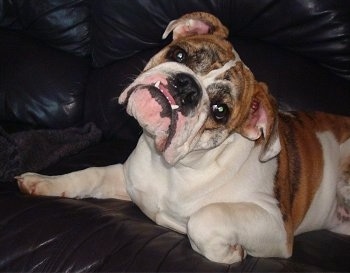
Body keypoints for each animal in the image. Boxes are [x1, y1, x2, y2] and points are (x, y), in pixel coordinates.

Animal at [15, 13, 350, 264]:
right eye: (179, 54)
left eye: (220, 111)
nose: (186, 87)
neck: (175, 169)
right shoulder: (126, 178)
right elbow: (89, 175)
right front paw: (43, 182)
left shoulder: (276, 225)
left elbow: (205, 217)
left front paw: (231, 253)